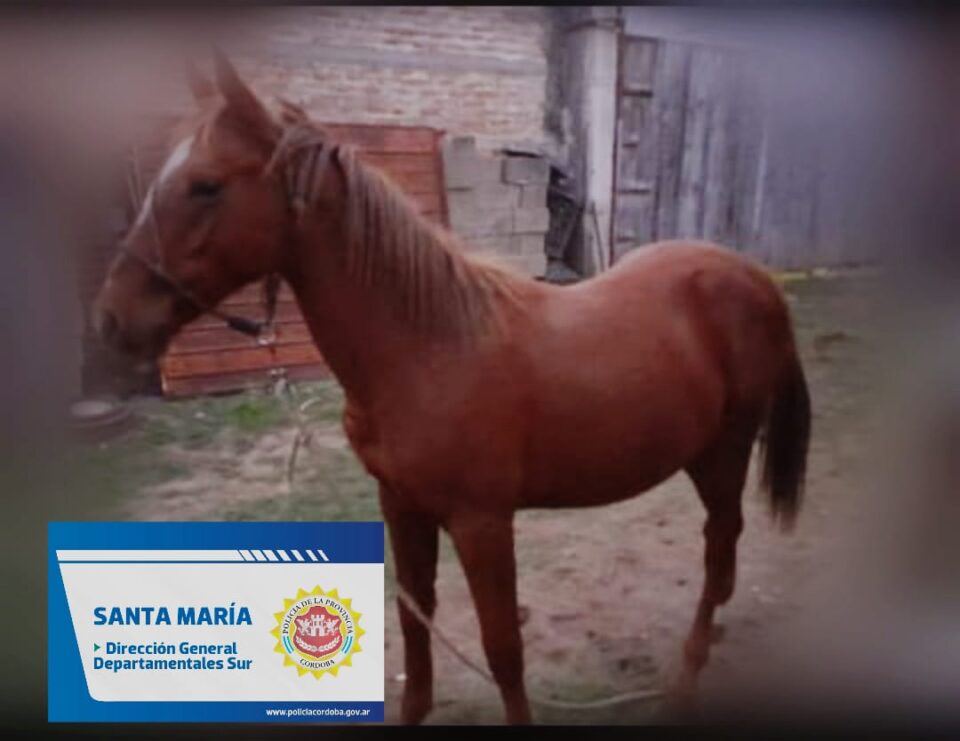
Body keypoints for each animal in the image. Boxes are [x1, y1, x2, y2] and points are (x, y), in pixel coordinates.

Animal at [93, 54, 811, 724]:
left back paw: (687, 677)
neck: (425, 347)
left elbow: (502, 648)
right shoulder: (401, 505)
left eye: (205, 185)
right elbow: (414, 623)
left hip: (722, 454)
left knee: (720, 550)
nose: (110, 321)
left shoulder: (481, 521)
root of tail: (756, 279)